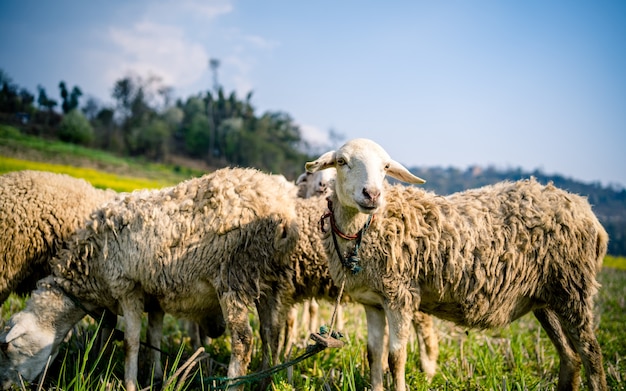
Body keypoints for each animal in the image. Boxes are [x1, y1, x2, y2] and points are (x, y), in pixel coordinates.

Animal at [0, 168, 298, 391]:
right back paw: (264, 382)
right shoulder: (154, 296)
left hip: (233, 276)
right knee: (270, 334)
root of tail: (283, 209)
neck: (89, 266)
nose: (6, 386)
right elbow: (153, 336)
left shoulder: (127, 287)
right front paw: (155, 377)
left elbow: (131, 340)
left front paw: (130, 383)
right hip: (271, 280)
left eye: (9, 349)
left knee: (243, 341)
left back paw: (234, 384)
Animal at [304, 139, 608, 391]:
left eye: (386, 167)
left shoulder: (400, 296)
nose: (372, 195)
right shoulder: (373, 302)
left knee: (591, 354)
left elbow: (396, 358)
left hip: (573, 290)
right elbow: (373, 355)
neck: (365, 230)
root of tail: (587, 211)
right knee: (570, 357)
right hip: (548, 297)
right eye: (341, 161)